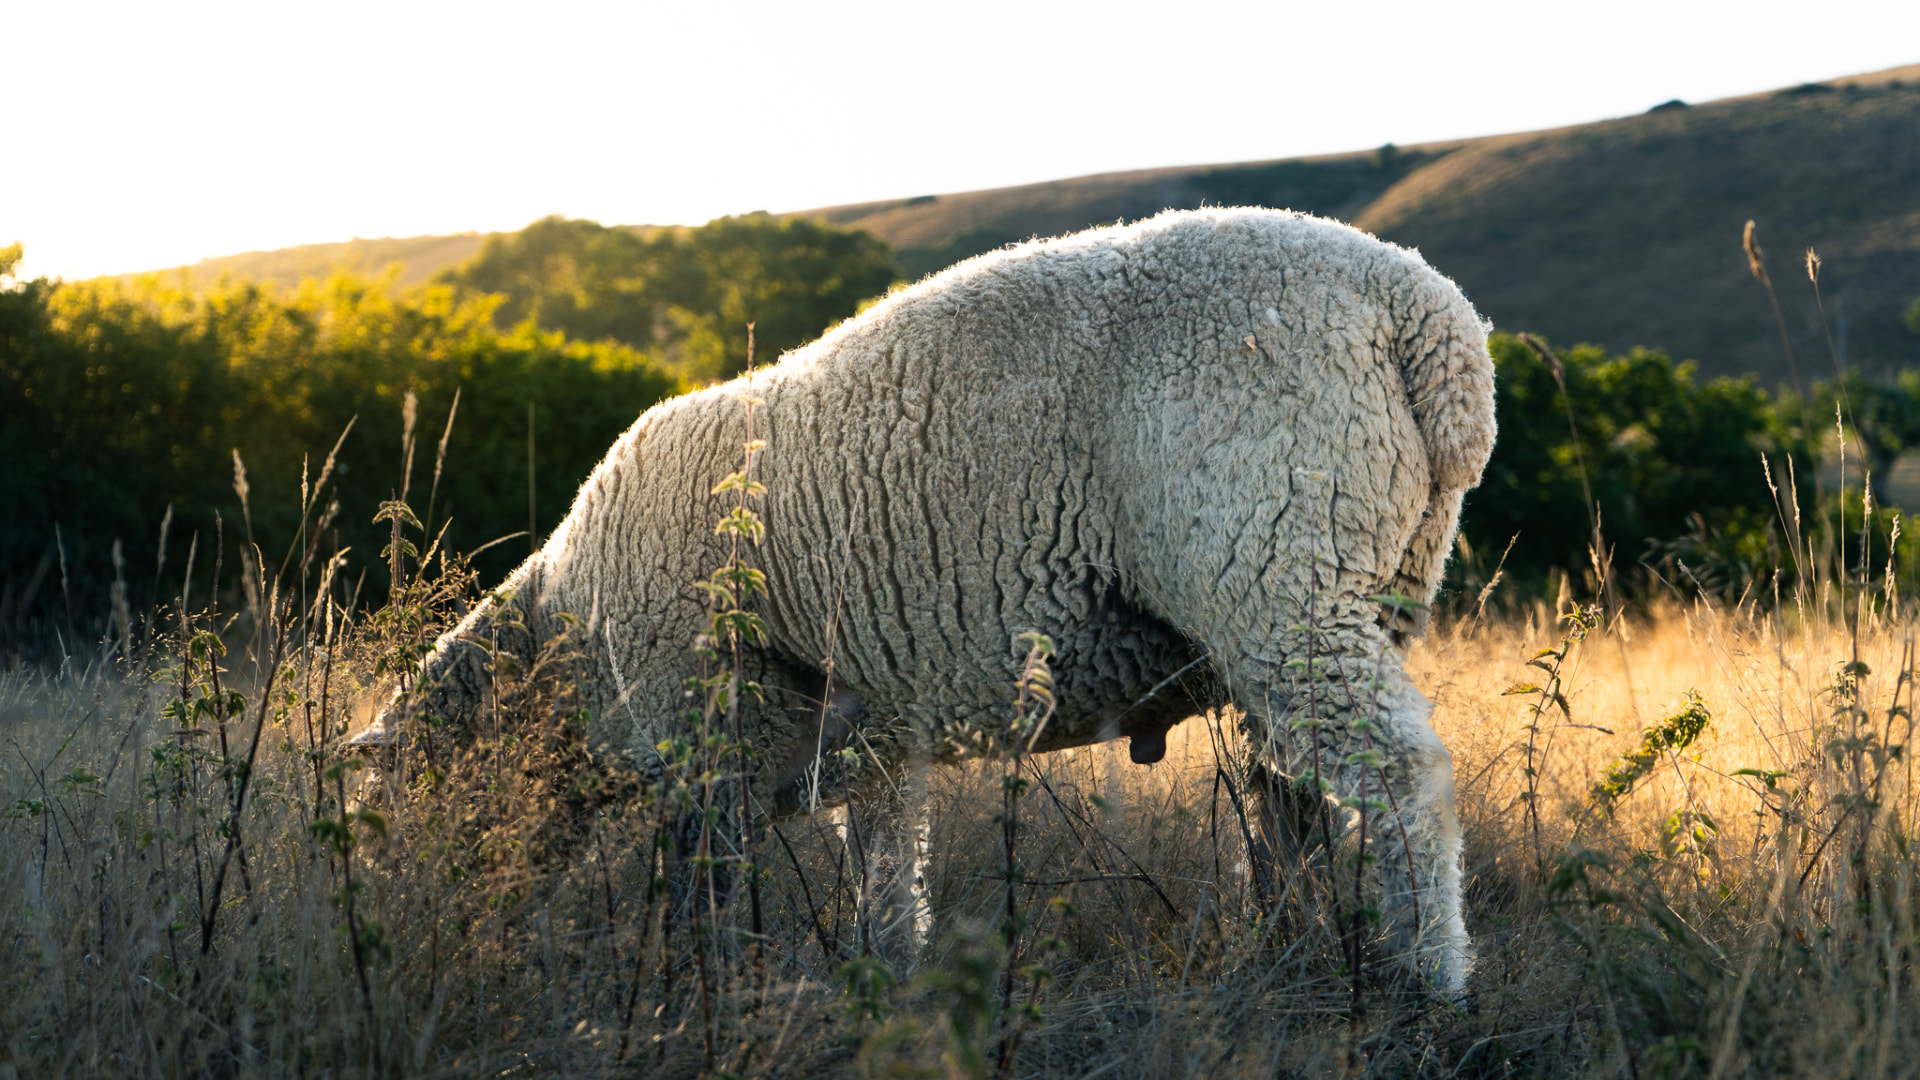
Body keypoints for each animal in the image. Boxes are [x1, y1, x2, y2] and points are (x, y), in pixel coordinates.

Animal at [359, 207, 1497, 997]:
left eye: (398, 815)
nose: (425, 932)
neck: (560, 632)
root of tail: (1426, 318)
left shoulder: (701, 728)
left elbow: (701, 888)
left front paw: (700, 995)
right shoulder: (864, 745)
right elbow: (884, 876)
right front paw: (887, 984)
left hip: (1274, 567)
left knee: (1401, 777)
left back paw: (1431, 980)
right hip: (1344, 593)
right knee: (1295, 795)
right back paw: (1292, 948)